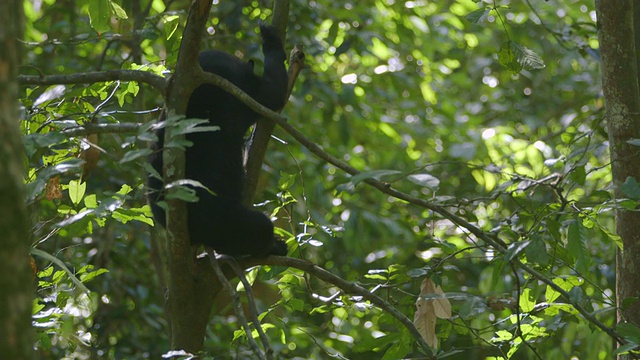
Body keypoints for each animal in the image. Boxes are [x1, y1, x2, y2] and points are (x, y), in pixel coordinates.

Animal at [148, 24, 288, 256]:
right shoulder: (248, 97)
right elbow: (275, 92)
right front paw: (270, 39)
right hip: (226, 221)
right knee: (258, 230)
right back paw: (274, 246)